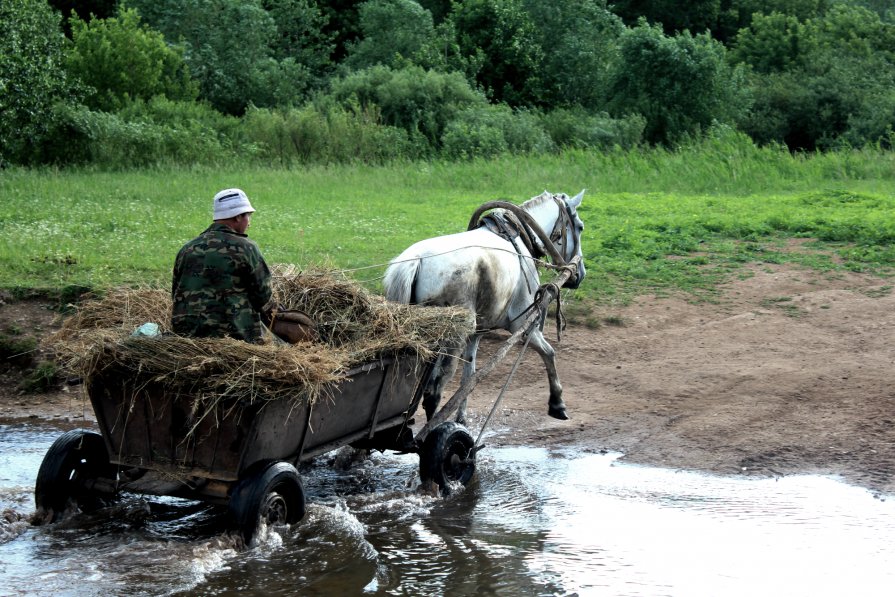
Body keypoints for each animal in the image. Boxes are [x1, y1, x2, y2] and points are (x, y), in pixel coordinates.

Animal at [384, 189, 588, 426]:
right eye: (580, 226)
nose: (579, 274)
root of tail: (415, 261)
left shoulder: (476, 334)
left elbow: (468, 377)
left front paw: (462, 418)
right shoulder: (522, 324)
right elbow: (548, 352)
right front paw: (557, 403)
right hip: (452, 338)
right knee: (434, 391)